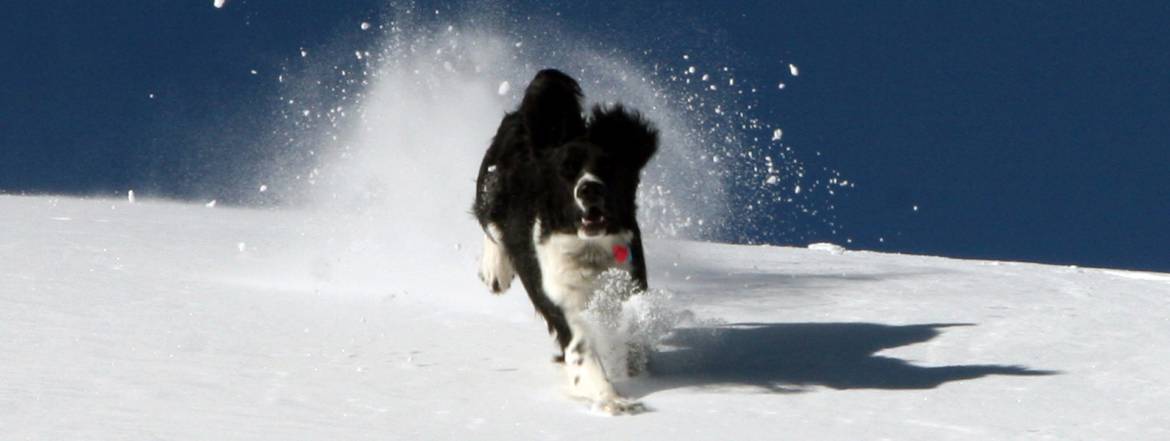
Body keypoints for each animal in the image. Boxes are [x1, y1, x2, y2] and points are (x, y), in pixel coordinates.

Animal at [472, 68, 659, 411]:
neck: (588, 249)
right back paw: (495, 271)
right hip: (491, 182)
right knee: (488, 218)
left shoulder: (628, 284)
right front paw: (612, 401)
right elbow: (583, 354)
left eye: (608, 166)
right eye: (565, 172)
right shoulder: (565, 306)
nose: (589, 189)